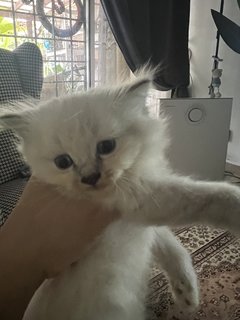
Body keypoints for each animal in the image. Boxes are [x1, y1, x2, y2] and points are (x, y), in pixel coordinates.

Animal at [1, 71, 240, 318]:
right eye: (63, 162)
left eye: (106, 147)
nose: (90, 178)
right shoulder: (141, 200)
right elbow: (207, 196)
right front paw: (236, 206)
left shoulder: (141, 221)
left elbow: (174, 249)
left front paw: (187, 295)